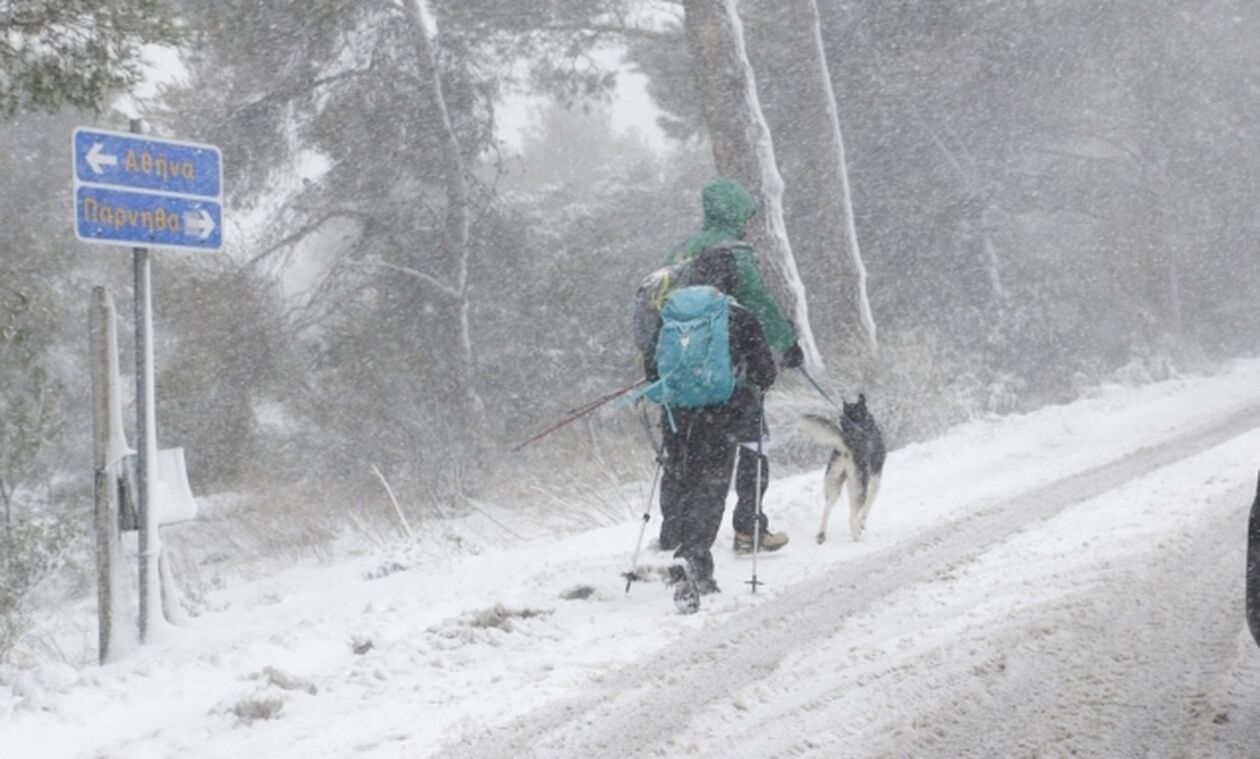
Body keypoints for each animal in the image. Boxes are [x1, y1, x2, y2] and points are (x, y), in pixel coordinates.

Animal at [796, 393, 887, 539]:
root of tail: (847, 443)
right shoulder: (875, 481)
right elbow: (867, 509)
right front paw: (862, 525)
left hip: (834, 485)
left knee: (826, 510)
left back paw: (821, 534)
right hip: (859, 487)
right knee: (851, 518)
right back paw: (856, 537)